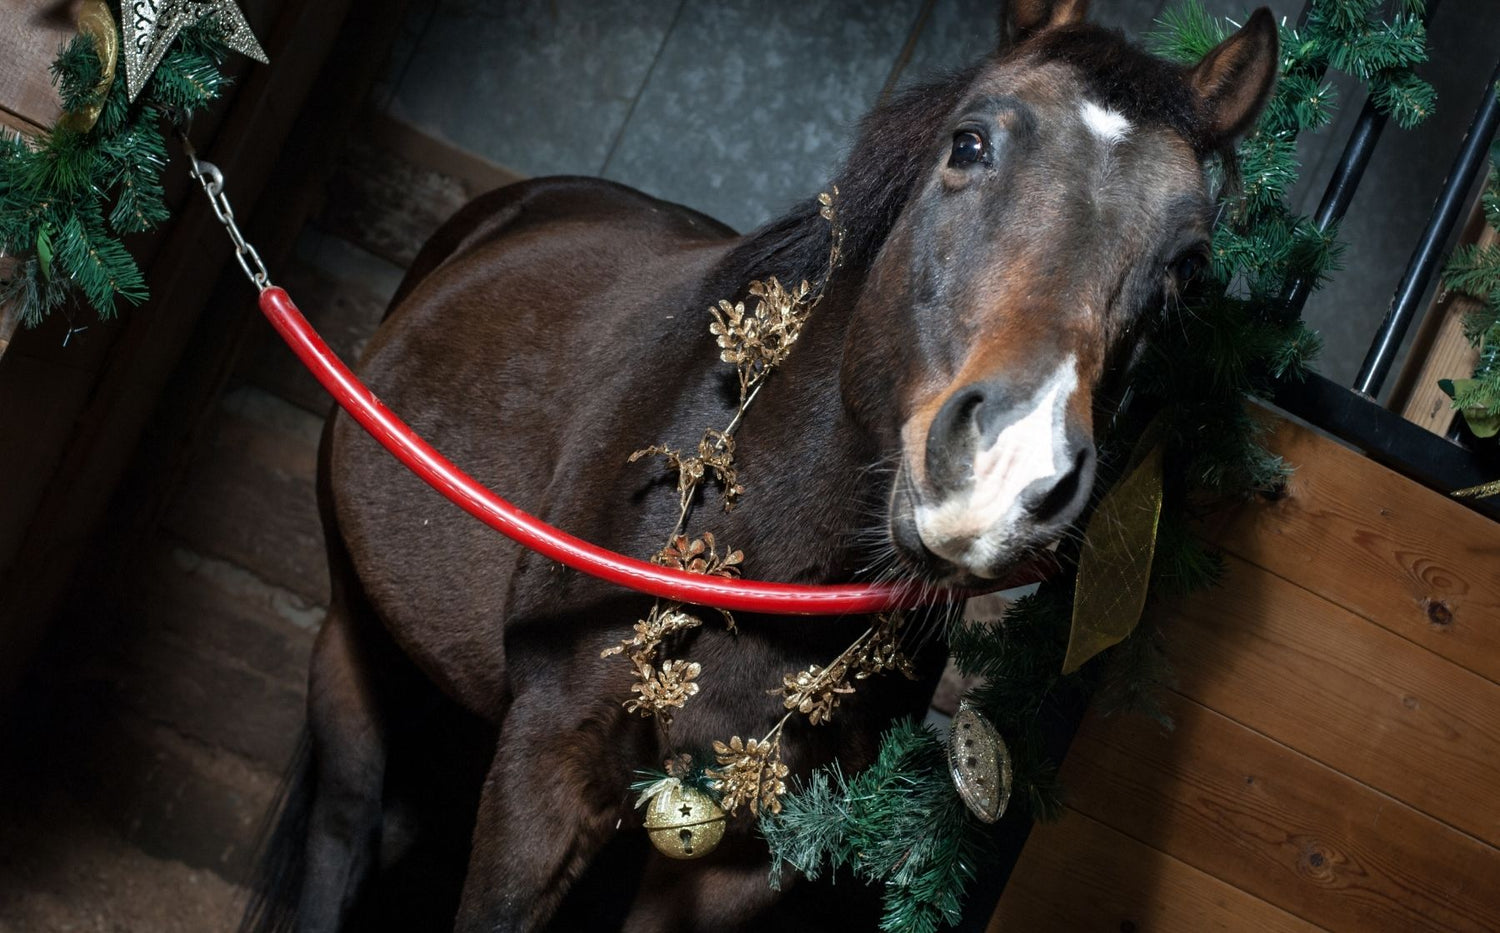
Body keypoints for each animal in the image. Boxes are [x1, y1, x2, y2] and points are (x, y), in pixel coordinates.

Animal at [244, 1, 1277, 929]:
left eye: (1188, 269)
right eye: (971, 144)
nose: (1009, 472)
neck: (756, 564)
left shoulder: (739, 863)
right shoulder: (545, 768)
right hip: (354, 638)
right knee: (341, 833)